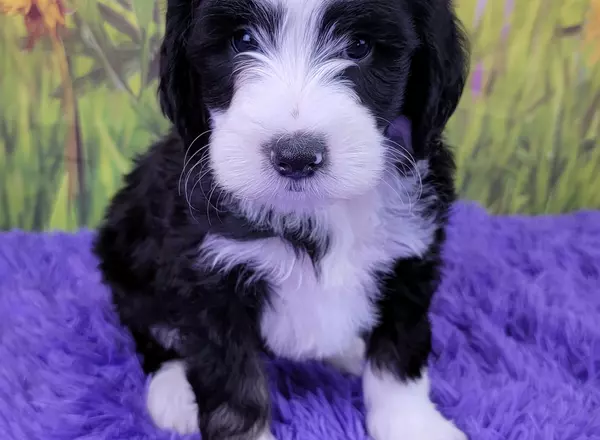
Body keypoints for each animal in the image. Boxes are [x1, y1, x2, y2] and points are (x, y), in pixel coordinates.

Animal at [92, 0, 468, 440]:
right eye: (241, 39)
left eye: (360, 45)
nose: (296, 156)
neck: (314, 209)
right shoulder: (208, 279)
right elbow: (233, 384)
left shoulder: (411, 258)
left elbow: (399, 351)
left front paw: (412, 423)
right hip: (127, 260)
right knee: (152, 333)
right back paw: (173, 394)